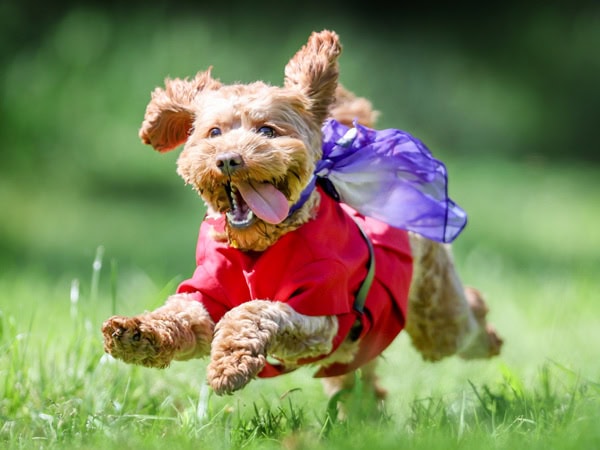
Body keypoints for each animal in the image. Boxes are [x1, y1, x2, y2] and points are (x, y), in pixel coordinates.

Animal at [101, 29, 500, 402]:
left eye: (266, 130)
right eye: (213, 132)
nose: (228, 160)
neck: (258, 248)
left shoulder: (320, 316)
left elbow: (255, 311)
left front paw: (229, 364)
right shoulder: (207, 296)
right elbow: (181, 315)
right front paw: (134, 333)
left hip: (435, 311)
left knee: (464, 318)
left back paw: (490, 334)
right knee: (359, 380)